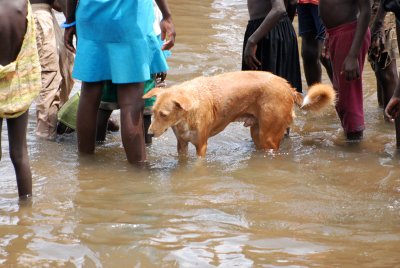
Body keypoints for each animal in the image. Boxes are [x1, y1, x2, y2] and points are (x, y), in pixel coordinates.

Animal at [142, 70, 336, 157]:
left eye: (164, 114)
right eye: (153, 112)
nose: (149, 134)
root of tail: (287, 86)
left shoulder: (201, 146)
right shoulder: (181, 145)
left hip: (269, 137)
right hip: (257, 133)